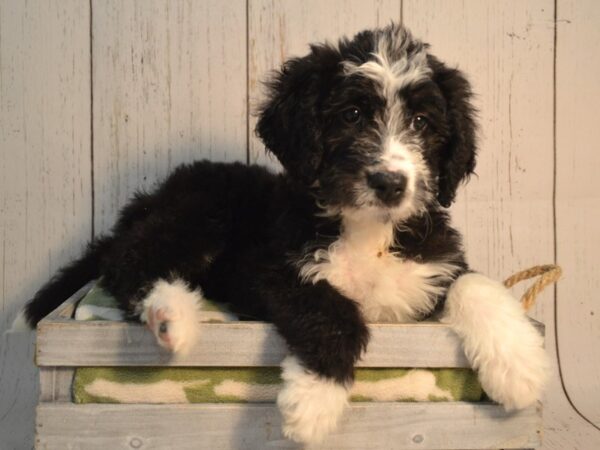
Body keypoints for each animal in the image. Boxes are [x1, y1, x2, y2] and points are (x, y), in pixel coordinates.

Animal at [16, 23, 548, 442]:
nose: (390, 182)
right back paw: (171, 316)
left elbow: (474, 282)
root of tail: (152, 198)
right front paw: (314, 403)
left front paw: (518, 366)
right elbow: (332, 308)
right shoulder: (267, 267)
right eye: (352, 114)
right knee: (128, 262)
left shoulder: (431, 261)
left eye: (421, 121)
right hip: (201, 214)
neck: (366, 231)